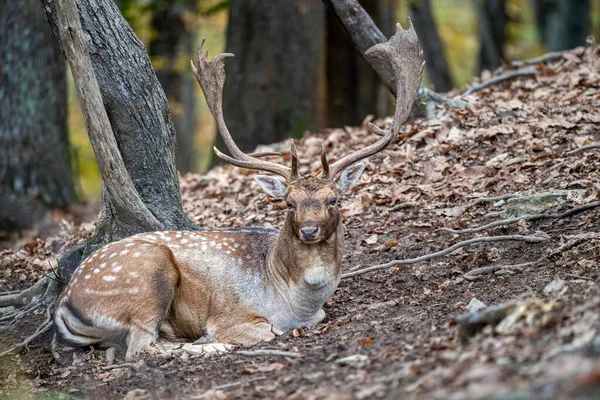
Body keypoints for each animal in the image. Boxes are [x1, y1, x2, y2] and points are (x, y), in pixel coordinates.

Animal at [54, 20, 424, 360]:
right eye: (288, 203)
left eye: (333, 199)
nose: (309, 229)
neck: (294, 301)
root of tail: (63, 302)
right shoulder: (231, 315)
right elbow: (267, 331)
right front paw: (217, 338)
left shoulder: (315, 312)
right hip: (147, 277)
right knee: (140, 348)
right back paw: (208, 345)